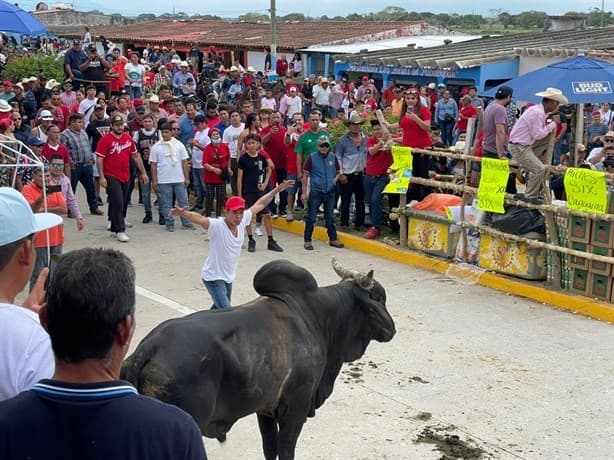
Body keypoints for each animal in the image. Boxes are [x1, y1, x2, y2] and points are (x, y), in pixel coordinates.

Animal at [121, 258, 400, 460]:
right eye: (378, 298)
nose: (392, 329)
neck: (319, 316)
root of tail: (150, 347)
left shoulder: (265, 410)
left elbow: (269, 449)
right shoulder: (295, 408)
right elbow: (285, 451)